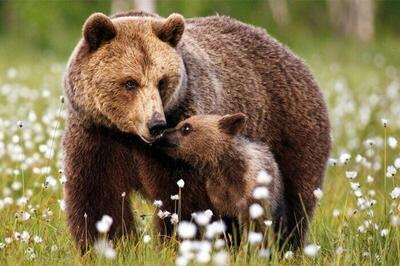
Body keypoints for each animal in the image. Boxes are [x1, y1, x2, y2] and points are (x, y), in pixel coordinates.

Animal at [63, 10, 332, 250]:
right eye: (130, 82)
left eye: (162, 81)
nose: (156, 124)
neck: (129, 137)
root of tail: (291, 54)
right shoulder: (97, 135)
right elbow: (98, 198)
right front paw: (109, 245)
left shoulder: (184, 137)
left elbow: (182, 198)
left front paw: (175, 243)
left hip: (290, 131)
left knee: (295, 198)